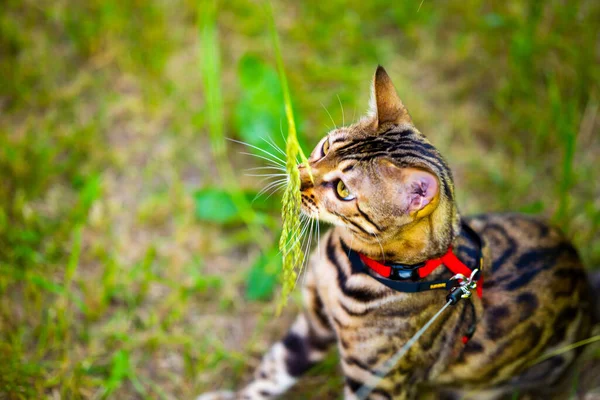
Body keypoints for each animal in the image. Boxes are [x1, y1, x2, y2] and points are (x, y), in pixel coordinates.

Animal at [199, 66, 596, 400]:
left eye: (342, 189)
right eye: (325, 147)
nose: (298, 177)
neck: (345, 269)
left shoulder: (377, 382)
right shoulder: (314, 321)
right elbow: (273, 372)